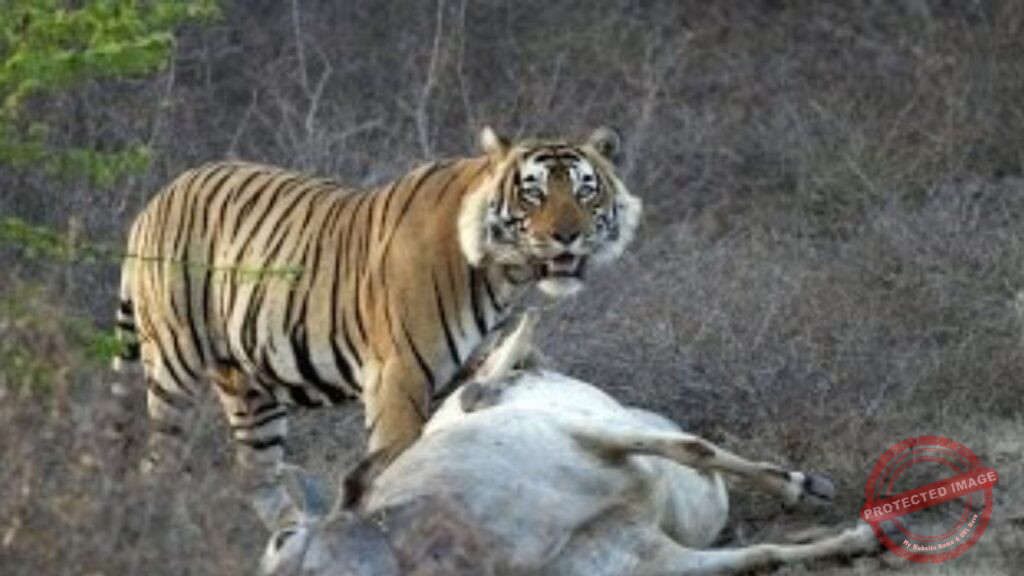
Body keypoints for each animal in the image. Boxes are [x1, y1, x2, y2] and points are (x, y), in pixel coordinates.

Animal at [113, 126, 642, 475]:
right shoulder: (399, 374)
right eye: (533, 194)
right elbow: (398, 458)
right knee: (158, 457)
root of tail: (158, 197)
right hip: (174, 362)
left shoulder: (475, 365)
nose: (566, 236)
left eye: (585, 191)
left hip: (248, 386)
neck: (503, 275)